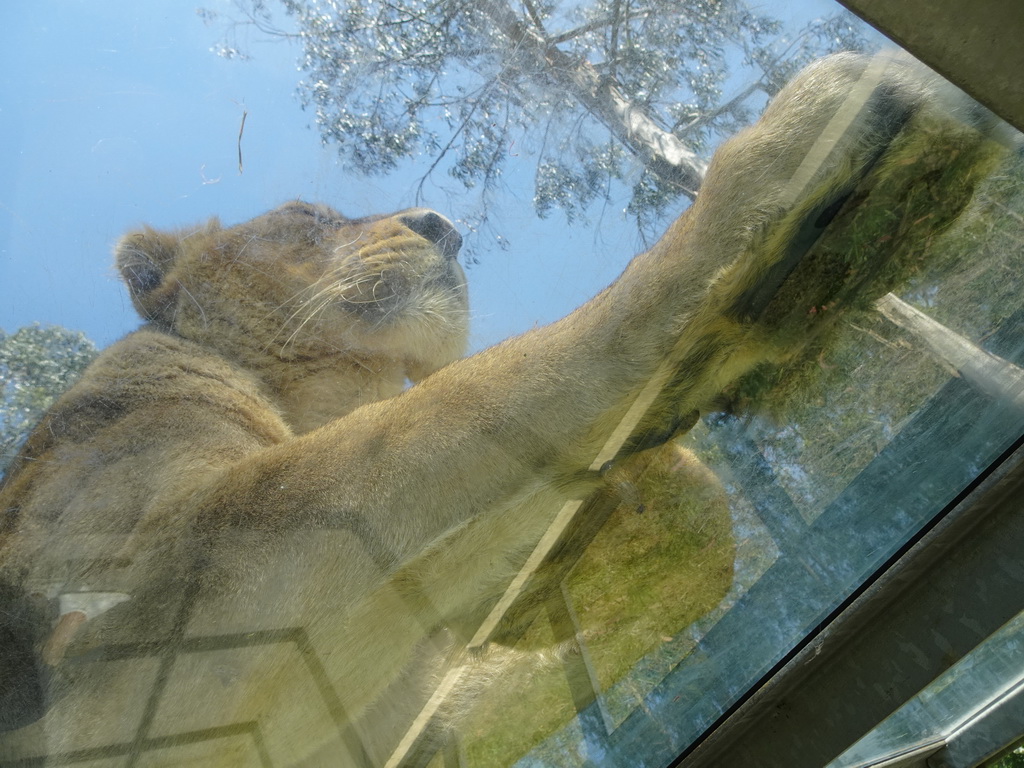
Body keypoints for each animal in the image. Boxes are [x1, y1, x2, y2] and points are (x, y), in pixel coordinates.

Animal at [0, 51, 1007, 765]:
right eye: (312, 218)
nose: (443, 224)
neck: (319, 394)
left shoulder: (385, 715)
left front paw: (635, 510)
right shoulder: (135, 615)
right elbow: (443, 413)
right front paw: (795, 162)